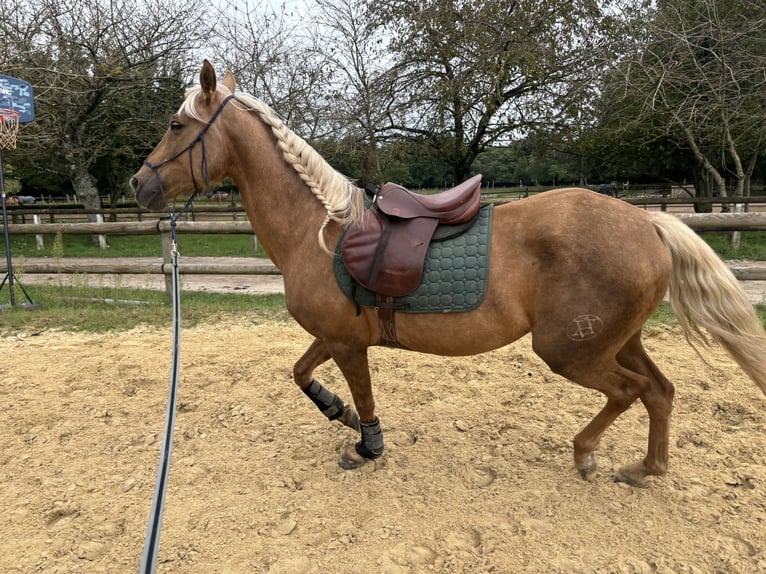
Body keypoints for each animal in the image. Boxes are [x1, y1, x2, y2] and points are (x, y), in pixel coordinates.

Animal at [132, 62, 766, 486]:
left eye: (174, 126)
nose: (139, 185)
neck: (321, 228)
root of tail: (647, 222)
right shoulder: (335, 335)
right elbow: (301, 372)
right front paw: (336, 411)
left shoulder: (347, 342)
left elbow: (363, 396)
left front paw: (366, 446)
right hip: (617, 339)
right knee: (659, 391)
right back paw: (647, 468)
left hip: (571, 350)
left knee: (631, 392)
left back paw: (587, 452)